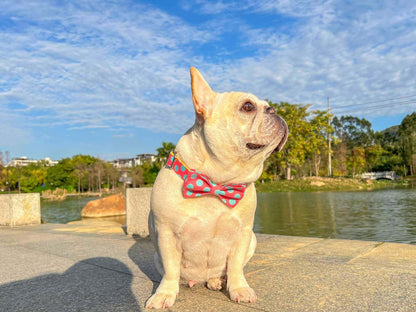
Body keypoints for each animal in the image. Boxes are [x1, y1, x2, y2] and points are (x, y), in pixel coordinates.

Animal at [145, 67, 286, 308]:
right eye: (247, 106)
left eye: (269, 106)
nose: (274, 110)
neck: (217, 182)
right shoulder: (166, 234)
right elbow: (171, 269)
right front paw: (164, 294)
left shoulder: (243, 234)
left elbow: (236, 266)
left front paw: (239, 289)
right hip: (156, 256)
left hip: (252, 241)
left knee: (224, 271)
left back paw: (217, 280)